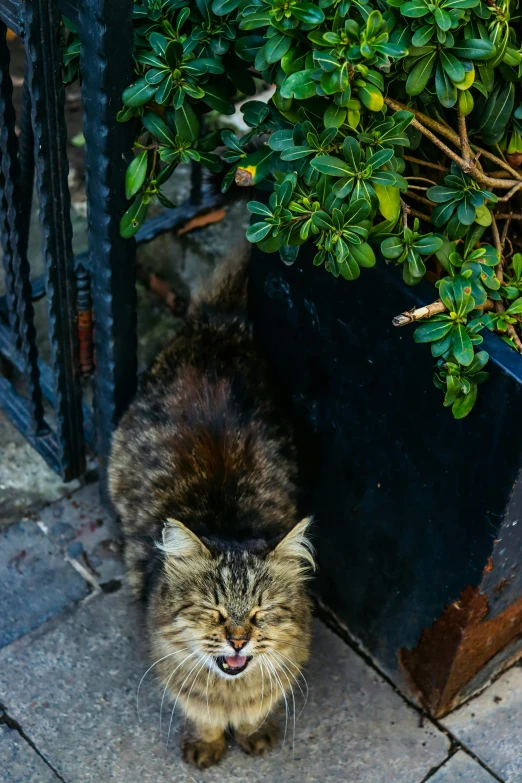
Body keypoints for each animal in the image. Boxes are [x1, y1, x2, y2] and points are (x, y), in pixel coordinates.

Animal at [108, 254, 312, 768]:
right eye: (213, 610)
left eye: (260, 613)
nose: (238, 639)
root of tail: (216, 324)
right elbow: (198, 708)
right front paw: (206, 743)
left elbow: (262, 704)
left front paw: (254, 733)